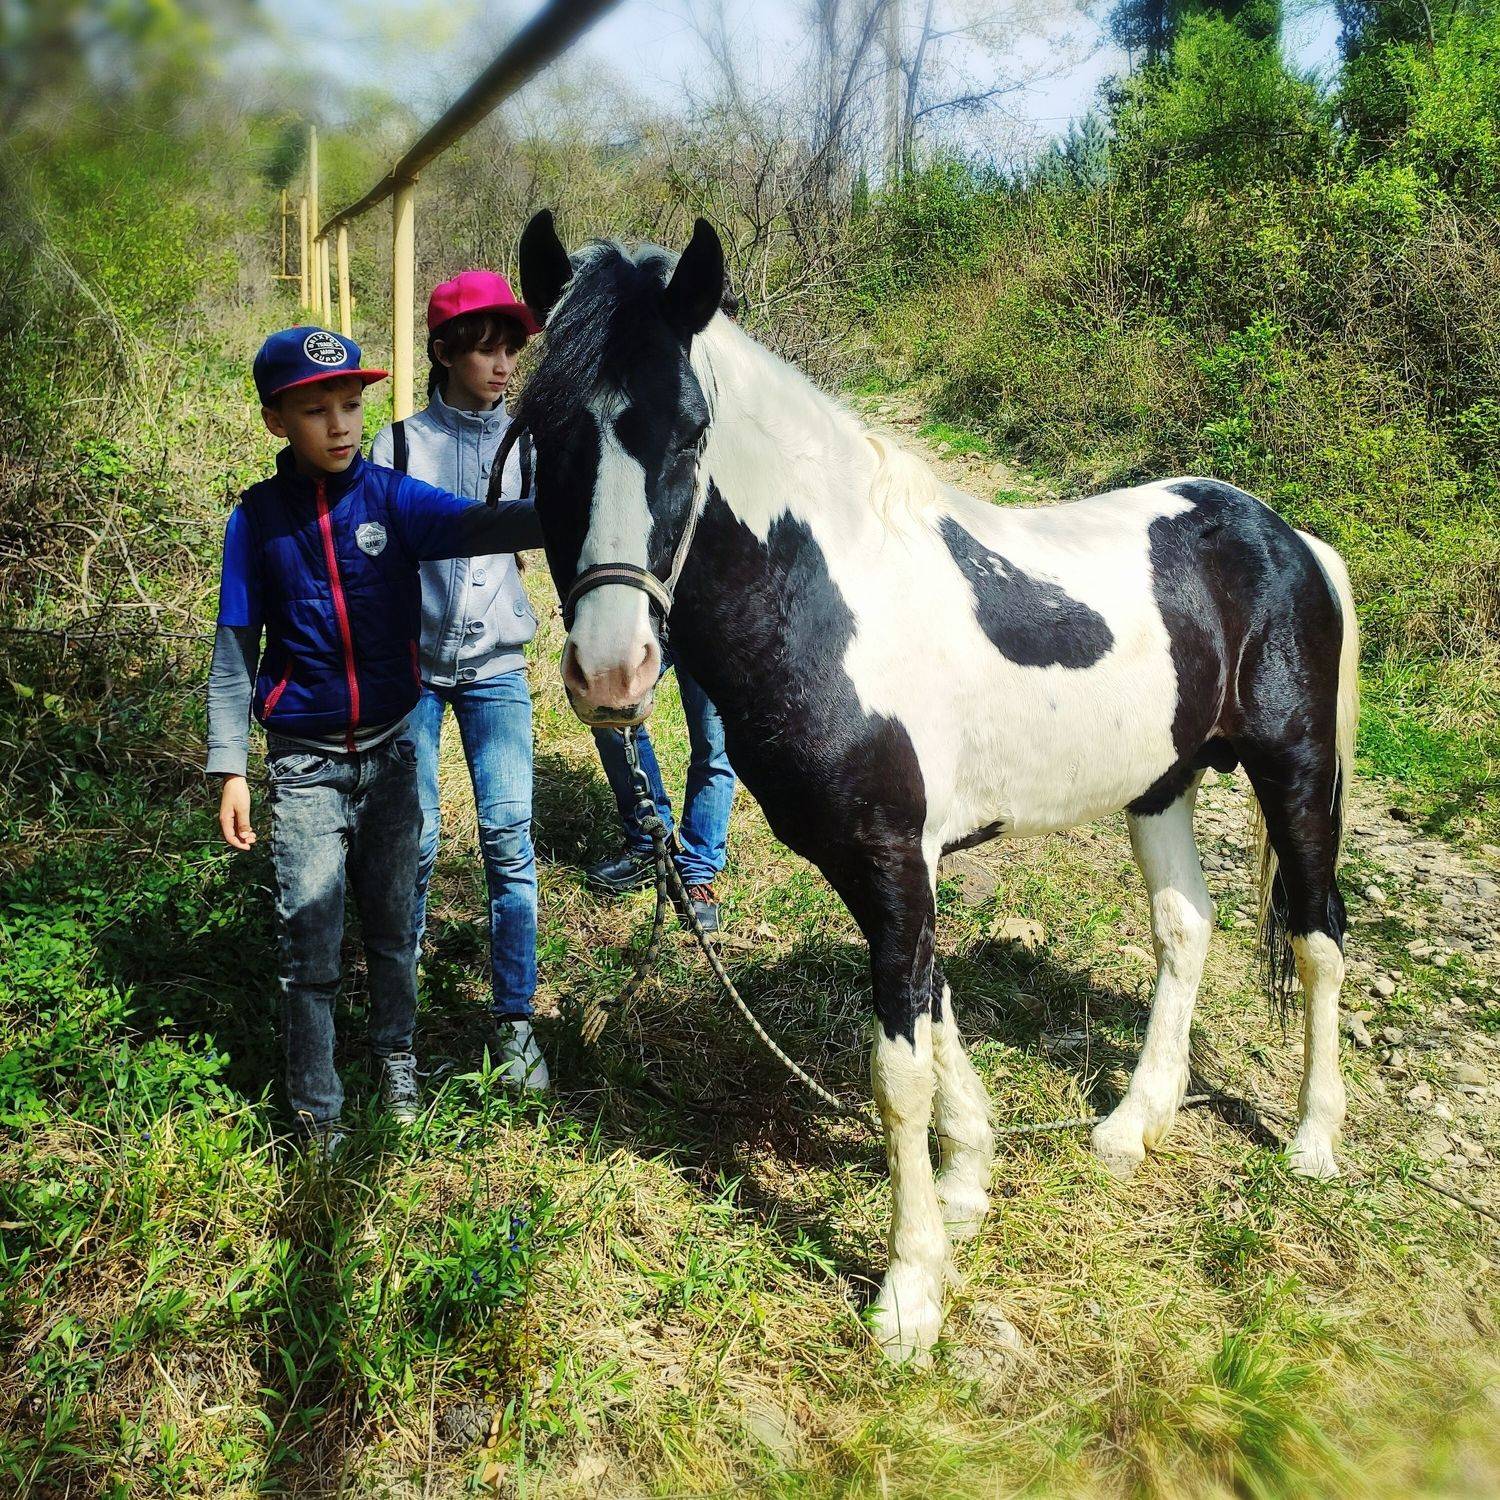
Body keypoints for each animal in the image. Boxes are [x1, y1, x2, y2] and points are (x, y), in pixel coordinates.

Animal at [510, 210, 1360, 1363]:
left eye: (687, 432)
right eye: (545, 430)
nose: (612, 673)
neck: (837, 602)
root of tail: (1290, 538)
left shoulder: (890, 855)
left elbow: (896, 1072)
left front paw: (911, 1292)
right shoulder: (881, 863)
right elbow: (937, 1009)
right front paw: (969, 1183)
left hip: (1296, 772)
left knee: (1318, 937)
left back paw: (1313, 1138)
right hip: (1162, 783)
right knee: (1186, 927)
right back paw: (1133, 1124)